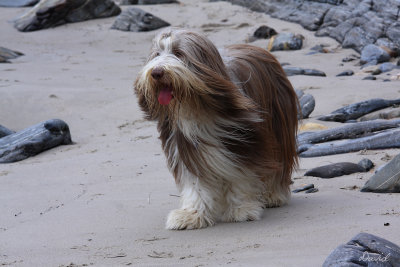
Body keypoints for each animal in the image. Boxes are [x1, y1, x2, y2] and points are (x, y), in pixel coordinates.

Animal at [134, 28, 296, 230]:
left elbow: (241, 175)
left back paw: (274, 195)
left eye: (179, 53)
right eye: (156, 54)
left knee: (279, 162)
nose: (156, 72)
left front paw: (242, 209)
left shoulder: (243, 142)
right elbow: (195, 182)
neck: (197, 106)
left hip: (279, 126)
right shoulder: (185, 147)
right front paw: (191, 214)